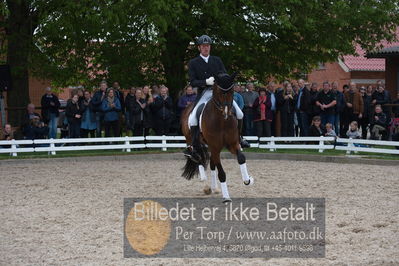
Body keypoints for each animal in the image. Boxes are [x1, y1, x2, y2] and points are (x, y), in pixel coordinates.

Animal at [182, 72, 255, 202]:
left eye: (232, 91)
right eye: (220, 92)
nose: (227, 113)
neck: (222, 121)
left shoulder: (232, 144)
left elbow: (241, 158)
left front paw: (248, 180)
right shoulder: (215, 147)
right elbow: (221, 172)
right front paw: (226, 197)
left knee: (211, 164)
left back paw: (214, 188)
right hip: (194, 142)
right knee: (199, 159)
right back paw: (206, 186)